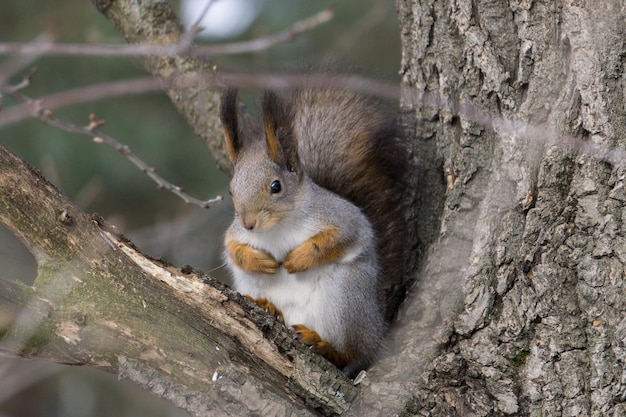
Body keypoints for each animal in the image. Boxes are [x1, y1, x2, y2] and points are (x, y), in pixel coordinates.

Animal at [217, 86, 408, 376]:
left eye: (276, 186)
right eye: (231, 190)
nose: (249, 223)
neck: (277, 228)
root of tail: (377, 328)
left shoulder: (343, 218)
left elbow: (344, 236)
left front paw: (299, 259)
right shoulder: (236, 232)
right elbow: (232, 247)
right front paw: (257, 260)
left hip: (346, 298)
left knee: (352, 353)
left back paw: (324, 346)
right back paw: (267, 307)